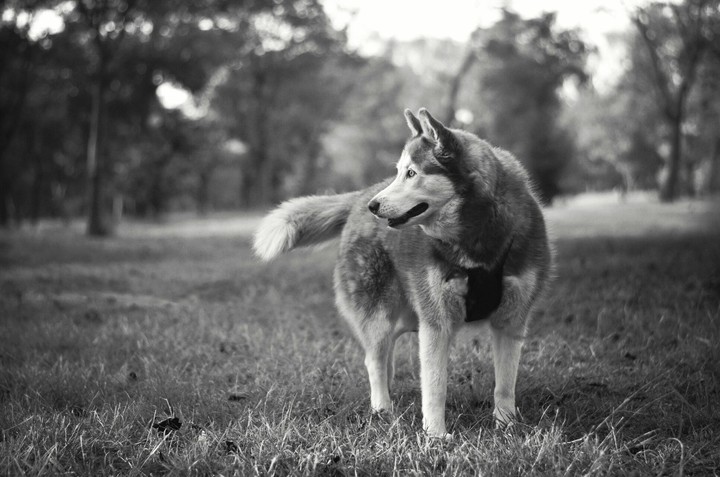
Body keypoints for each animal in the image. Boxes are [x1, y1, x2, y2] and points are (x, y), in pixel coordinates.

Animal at [253, 108, 552, 437]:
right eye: (400, 171)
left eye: (412, 173)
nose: (374, 207)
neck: (476, 239)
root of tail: (361, 195)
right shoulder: (436, 323)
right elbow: (435, 386)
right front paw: (436, 435)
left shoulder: (511, 320)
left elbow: (505, 384)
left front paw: (506, 425)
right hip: (379, 313)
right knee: (373, 358)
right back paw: (382, 407)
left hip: (408, 313)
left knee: (386, 353)